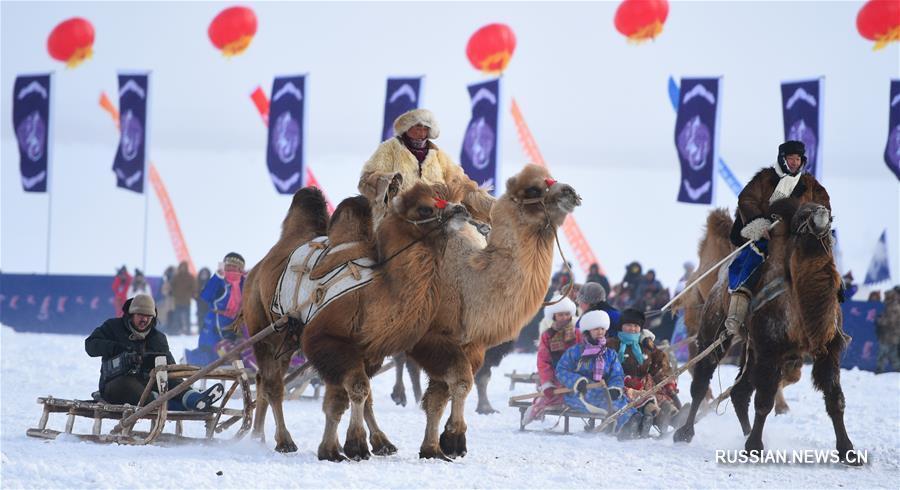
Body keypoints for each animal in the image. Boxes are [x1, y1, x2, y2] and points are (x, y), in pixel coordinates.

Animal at [410, 165, 584, 460]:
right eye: (533, 189)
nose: (570, 191)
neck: (466, 282)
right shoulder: (434, 339)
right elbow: (460, 383)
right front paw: (455, 439)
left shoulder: (469, 345)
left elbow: (440, 396)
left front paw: (433, 448)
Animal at [676, 199, 856, 464]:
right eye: (801, 217)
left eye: (830, 215)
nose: (821, 215)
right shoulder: (771, 348)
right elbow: (764, 401)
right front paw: (754, 447)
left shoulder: (827, 349)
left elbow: (835, 399)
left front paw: (848, 451)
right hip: (715, 330)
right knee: (702, 377)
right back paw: (685, 432)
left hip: (751, 346)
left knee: (739, 392)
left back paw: (745, 433)